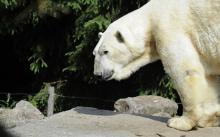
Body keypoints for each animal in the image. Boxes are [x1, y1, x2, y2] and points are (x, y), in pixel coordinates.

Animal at [93, 0, 220, 131]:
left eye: (105, 51)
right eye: (94, 53)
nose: (97, 74)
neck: (151, 16)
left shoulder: (169, 28)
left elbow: (184, 71)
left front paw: (180, 122)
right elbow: (208, 77)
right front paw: (210, 118)